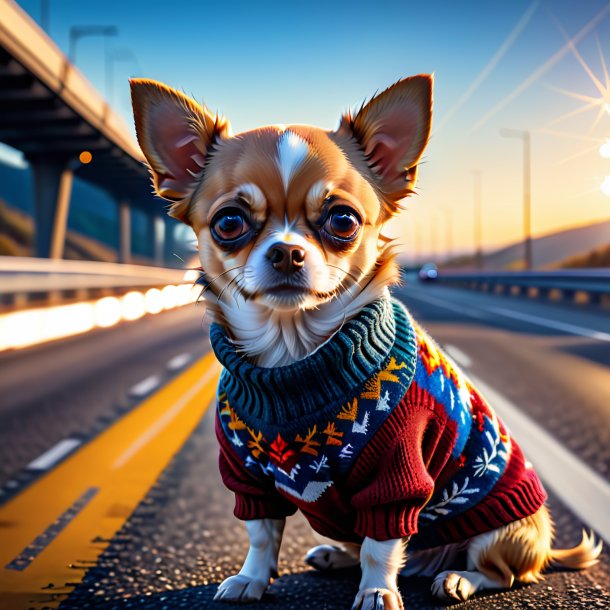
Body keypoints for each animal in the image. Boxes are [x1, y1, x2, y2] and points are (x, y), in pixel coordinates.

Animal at [128, 73, 600, 604]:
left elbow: (382, 543)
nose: (287, 252)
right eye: (229, 221)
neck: (294, 355)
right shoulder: (248, 478)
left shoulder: (396, 477)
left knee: (504, 572)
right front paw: (251, 578)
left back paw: (458, 577)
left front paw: (376, 592)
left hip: (501, 531)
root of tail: (545, 545)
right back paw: (337, 556)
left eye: (343, 220)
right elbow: (262, 533)